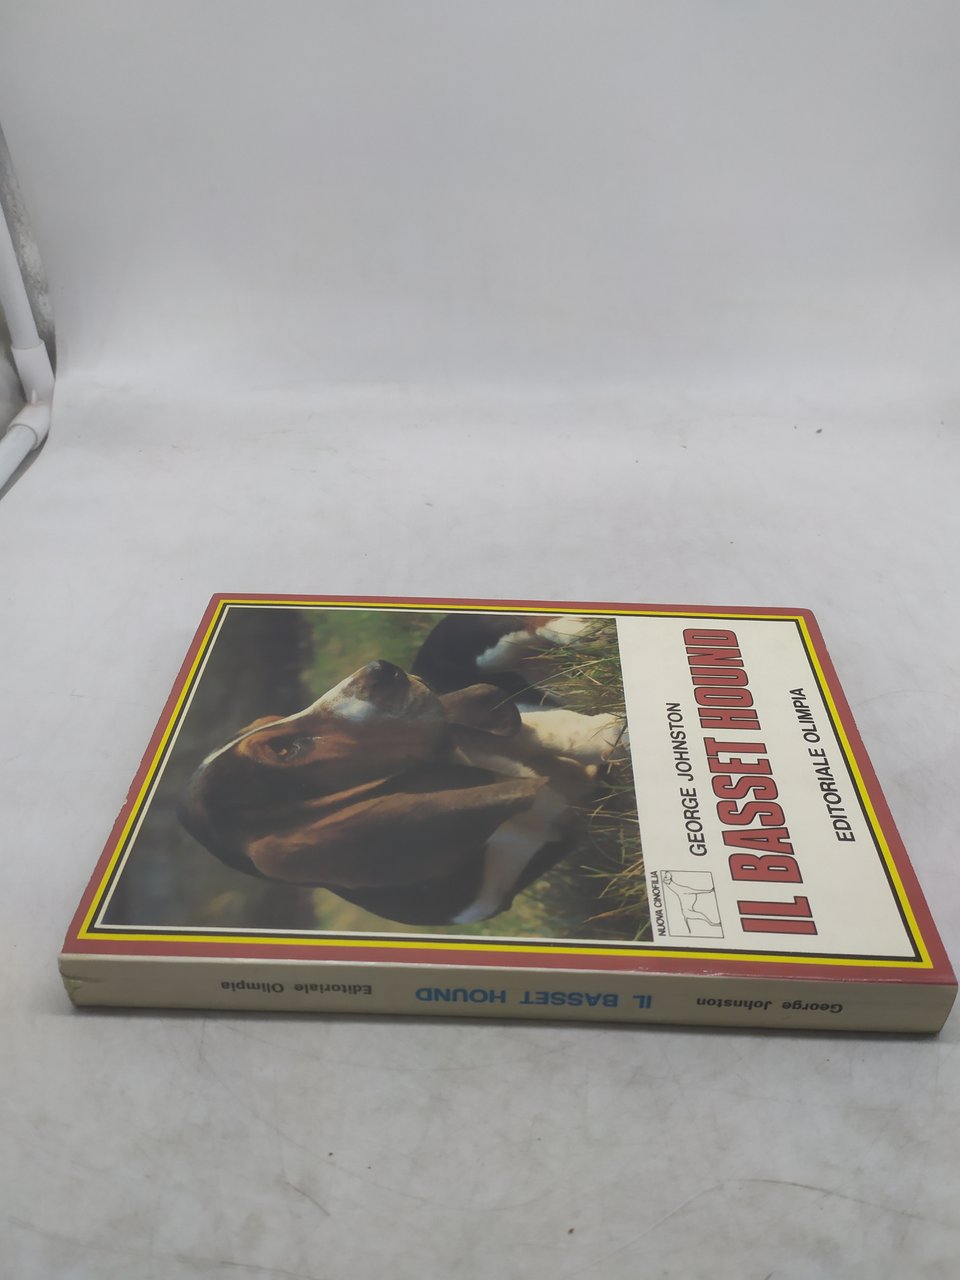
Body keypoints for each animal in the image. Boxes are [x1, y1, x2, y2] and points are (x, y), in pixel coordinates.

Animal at [179, 614, 626, 926]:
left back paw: (584, 630)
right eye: (285, 749)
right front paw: (607, 736)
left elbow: (536, 727)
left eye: (274, 720)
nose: (381, 668)